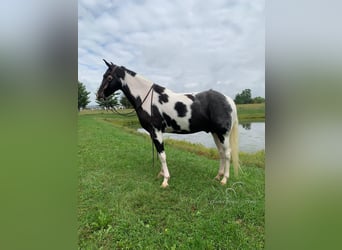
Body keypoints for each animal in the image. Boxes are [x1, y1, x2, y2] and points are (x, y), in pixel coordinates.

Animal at [97, 59, 240, 188]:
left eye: (108, 77)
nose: (99, 95)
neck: (147, 98)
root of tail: (228, 100)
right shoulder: (154, 133)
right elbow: (159, 154)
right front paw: (161, 174)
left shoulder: (156, 131)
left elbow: (162, 155)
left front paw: (165, 180)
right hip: (215, 133)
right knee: (221, 153)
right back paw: (218, 176)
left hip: (223, 134)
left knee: (227, 154)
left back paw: (224, 179)